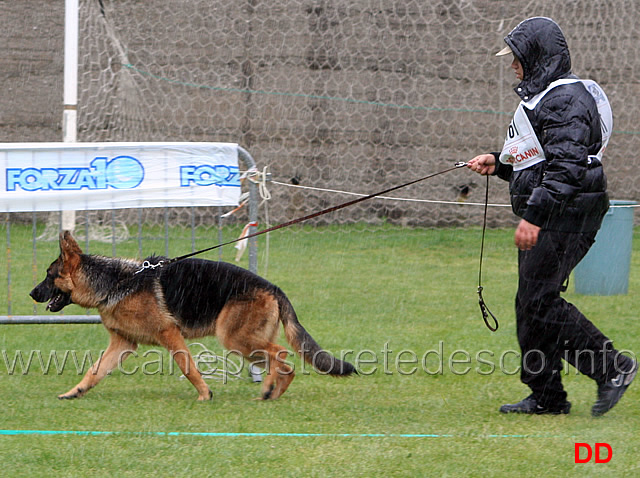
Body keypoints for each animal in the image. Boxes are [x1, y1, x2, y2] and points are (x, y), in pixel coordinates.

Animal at [30, 232, 356, 400]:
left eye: (49, 275)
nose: (32, 293)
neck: (117, 281)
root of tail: (273, 287)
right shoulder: (122, 344)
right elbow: (94, 371)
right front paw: (75, 392)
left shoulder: (169, 334)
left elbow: (188, 367)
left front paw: (204, 394)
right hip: (247, 342)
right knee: (283, 364)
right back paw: (273, 394)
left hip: (236, 339)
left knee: (282, 355)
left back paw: (267, 389)